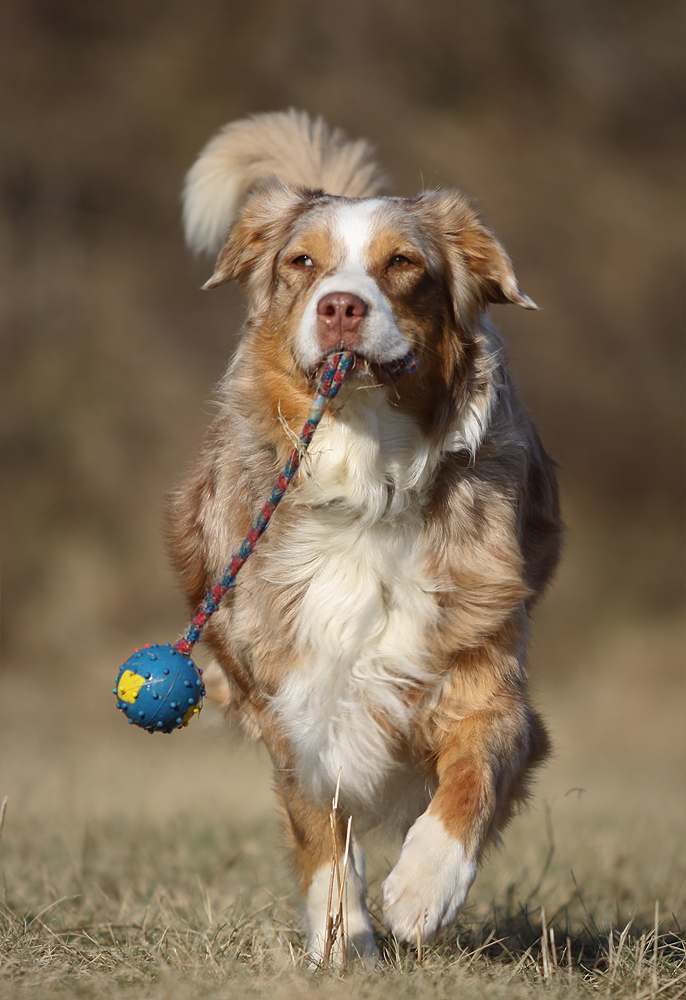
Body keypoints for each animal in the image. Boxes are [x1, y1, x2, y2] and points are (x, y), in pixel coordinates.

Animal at [169, 109, 560, 960]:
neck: (365, 480)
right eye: (302, 263)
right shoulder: (295, 688)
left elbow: (472, 775)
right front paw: (343, 937)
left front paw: (422, 889)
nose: (341, 306)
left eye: (403, 263)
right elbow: (322, 829)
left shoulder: (486, 670)